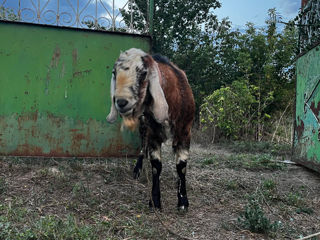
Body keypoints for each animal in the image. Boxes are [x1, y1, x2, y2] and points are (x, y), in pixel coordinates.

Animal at [106, 47, 195, 209]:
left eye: (143, 73)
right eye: (114, 72)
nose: (121, 102)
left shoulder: (185, 131)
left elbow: (181, 166)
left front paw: (183, 200)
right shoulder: (153, 133)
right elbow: (156, 166)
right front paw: (155, 200)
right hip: (143, 126)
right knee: (143, 146)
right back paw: (137, 170)